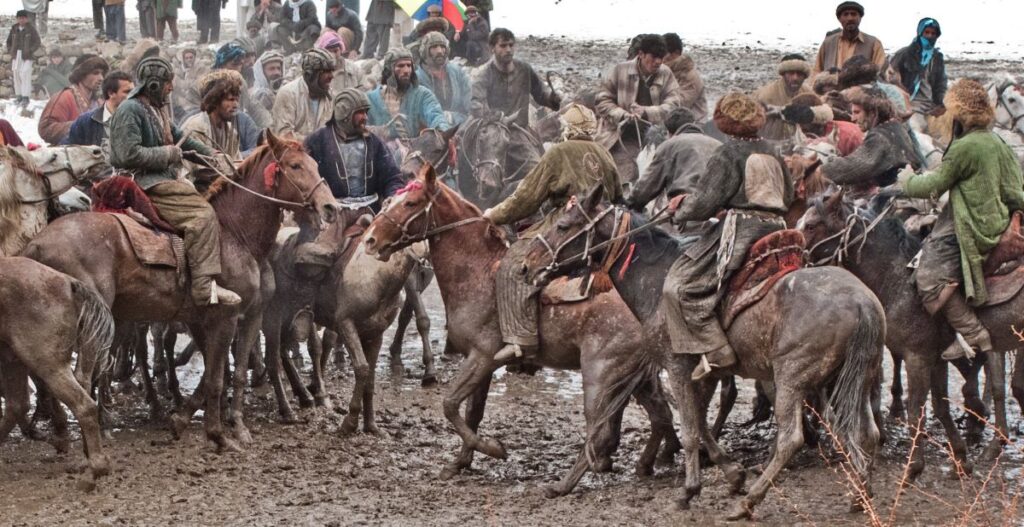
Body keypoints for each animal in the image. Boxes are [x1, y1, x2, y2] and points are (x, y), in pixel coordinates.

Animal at [0, 255, 116, 482]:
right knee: (17, 405)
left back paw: (97, 464)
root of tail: (68, 283)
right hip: (12, 359)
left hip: (48, 364)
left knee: (83, 404)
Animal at [19, 129, 337, 452]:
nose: (330, 207)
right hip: (95, 325)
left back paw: (62, 433)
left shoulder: (227, 317)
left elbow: (221, 373)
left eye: (315, 163)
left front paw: (188, 420)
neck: (236, 236)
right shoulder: (230, 317)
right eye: (295, 166)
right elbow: (218, 377)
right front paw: (225, 431)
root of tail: (36, 245)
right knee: (81, 378)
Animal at [364, 164, 684, 499]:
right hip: (635, 376)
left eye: (411, 203)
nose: (370, 240)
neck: (477, 270)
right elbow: (472, 414)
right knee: (660, 415)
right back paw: (647, 463)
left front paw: (493, 449)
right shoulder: (482, 364)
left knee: (602, 432)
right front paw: (460, 462)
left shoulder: (482, 356)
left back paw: (563, 484)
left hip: (602, 374)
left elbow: (450, 405)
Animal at [520, 184, 888, 519]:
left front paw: (689, 491)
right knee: (866, 432)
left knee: (791, 439)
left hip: (793, 379)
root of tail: (862, 303)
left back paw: (748, 503)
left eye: (563, 226)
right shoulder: (706, 371)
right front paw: (732, 473)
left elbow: (690, 428)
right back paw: (860, 496)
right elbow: (699, 420)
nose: (526, 266)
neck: (655, 277)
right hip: (852, 378)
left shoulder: (677, 366)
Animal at [798, 192, 1024, 466]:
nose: (794, 257)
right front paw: (960, 454)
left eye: (811, 226)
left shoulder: (918, 356)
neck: (898, 280)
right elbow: (940, 405)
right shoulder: (935, 357)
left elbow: (919, 407)